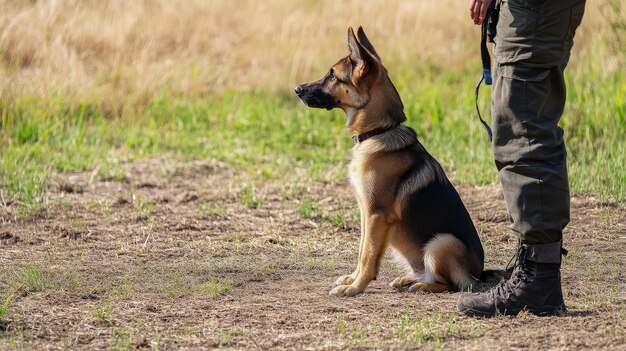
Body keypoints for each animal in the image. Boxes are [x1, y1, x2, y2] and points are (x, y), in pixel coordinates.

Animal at [292, 26, 482, 296]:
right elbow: (363, 250)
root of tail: (480, 272)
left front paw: (355, 288)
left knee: (449, 285)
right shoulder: (366, 214)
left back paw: (422, 285)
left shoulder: (375, 214)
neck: (379, 131)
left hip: (441, 243)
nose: (297, 90)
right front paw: (353, 279)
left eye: (332, 76)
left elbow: (368, 255)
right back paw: (407, 280)